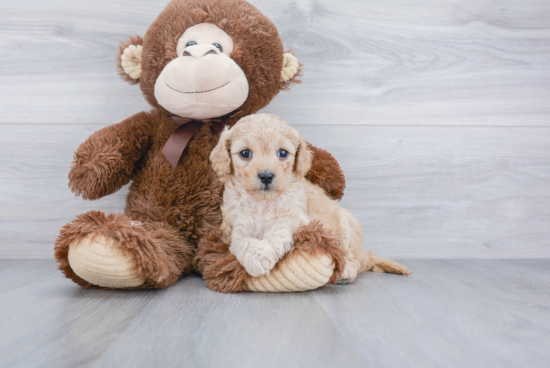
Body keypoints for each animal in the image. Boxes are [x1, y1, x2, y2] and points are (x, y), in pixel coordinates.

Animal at [209, 113, 412, 280]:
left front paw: (265, 252)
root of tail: (364, 252)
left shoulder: (299, 219)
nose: (266, 176)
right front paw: (257, 258)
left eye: (282, 153)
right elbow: (242, 241)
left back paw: (346, 271)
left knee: (354, 259)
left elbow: (280, 225)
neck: (263, 203)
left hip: (348, 226)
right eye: (245, 153)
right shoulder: (235, 226)